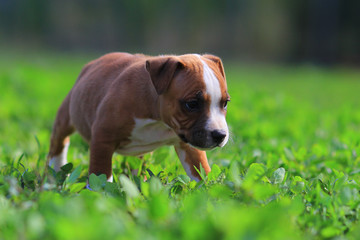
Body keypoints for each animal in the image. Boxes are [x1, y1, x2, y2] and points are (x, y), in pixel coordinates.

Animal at [47, 52, 231, 180]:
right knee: (59, 142)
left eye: (225, 103)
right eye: (192, 104)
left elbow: (201, 172)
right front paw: (102, 196)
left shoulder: (190, 146)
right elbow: (101, 176)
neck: (159, 120)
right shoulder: (102, 139)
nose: (220, 135)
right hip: (65, 117)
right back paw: (55, 173)